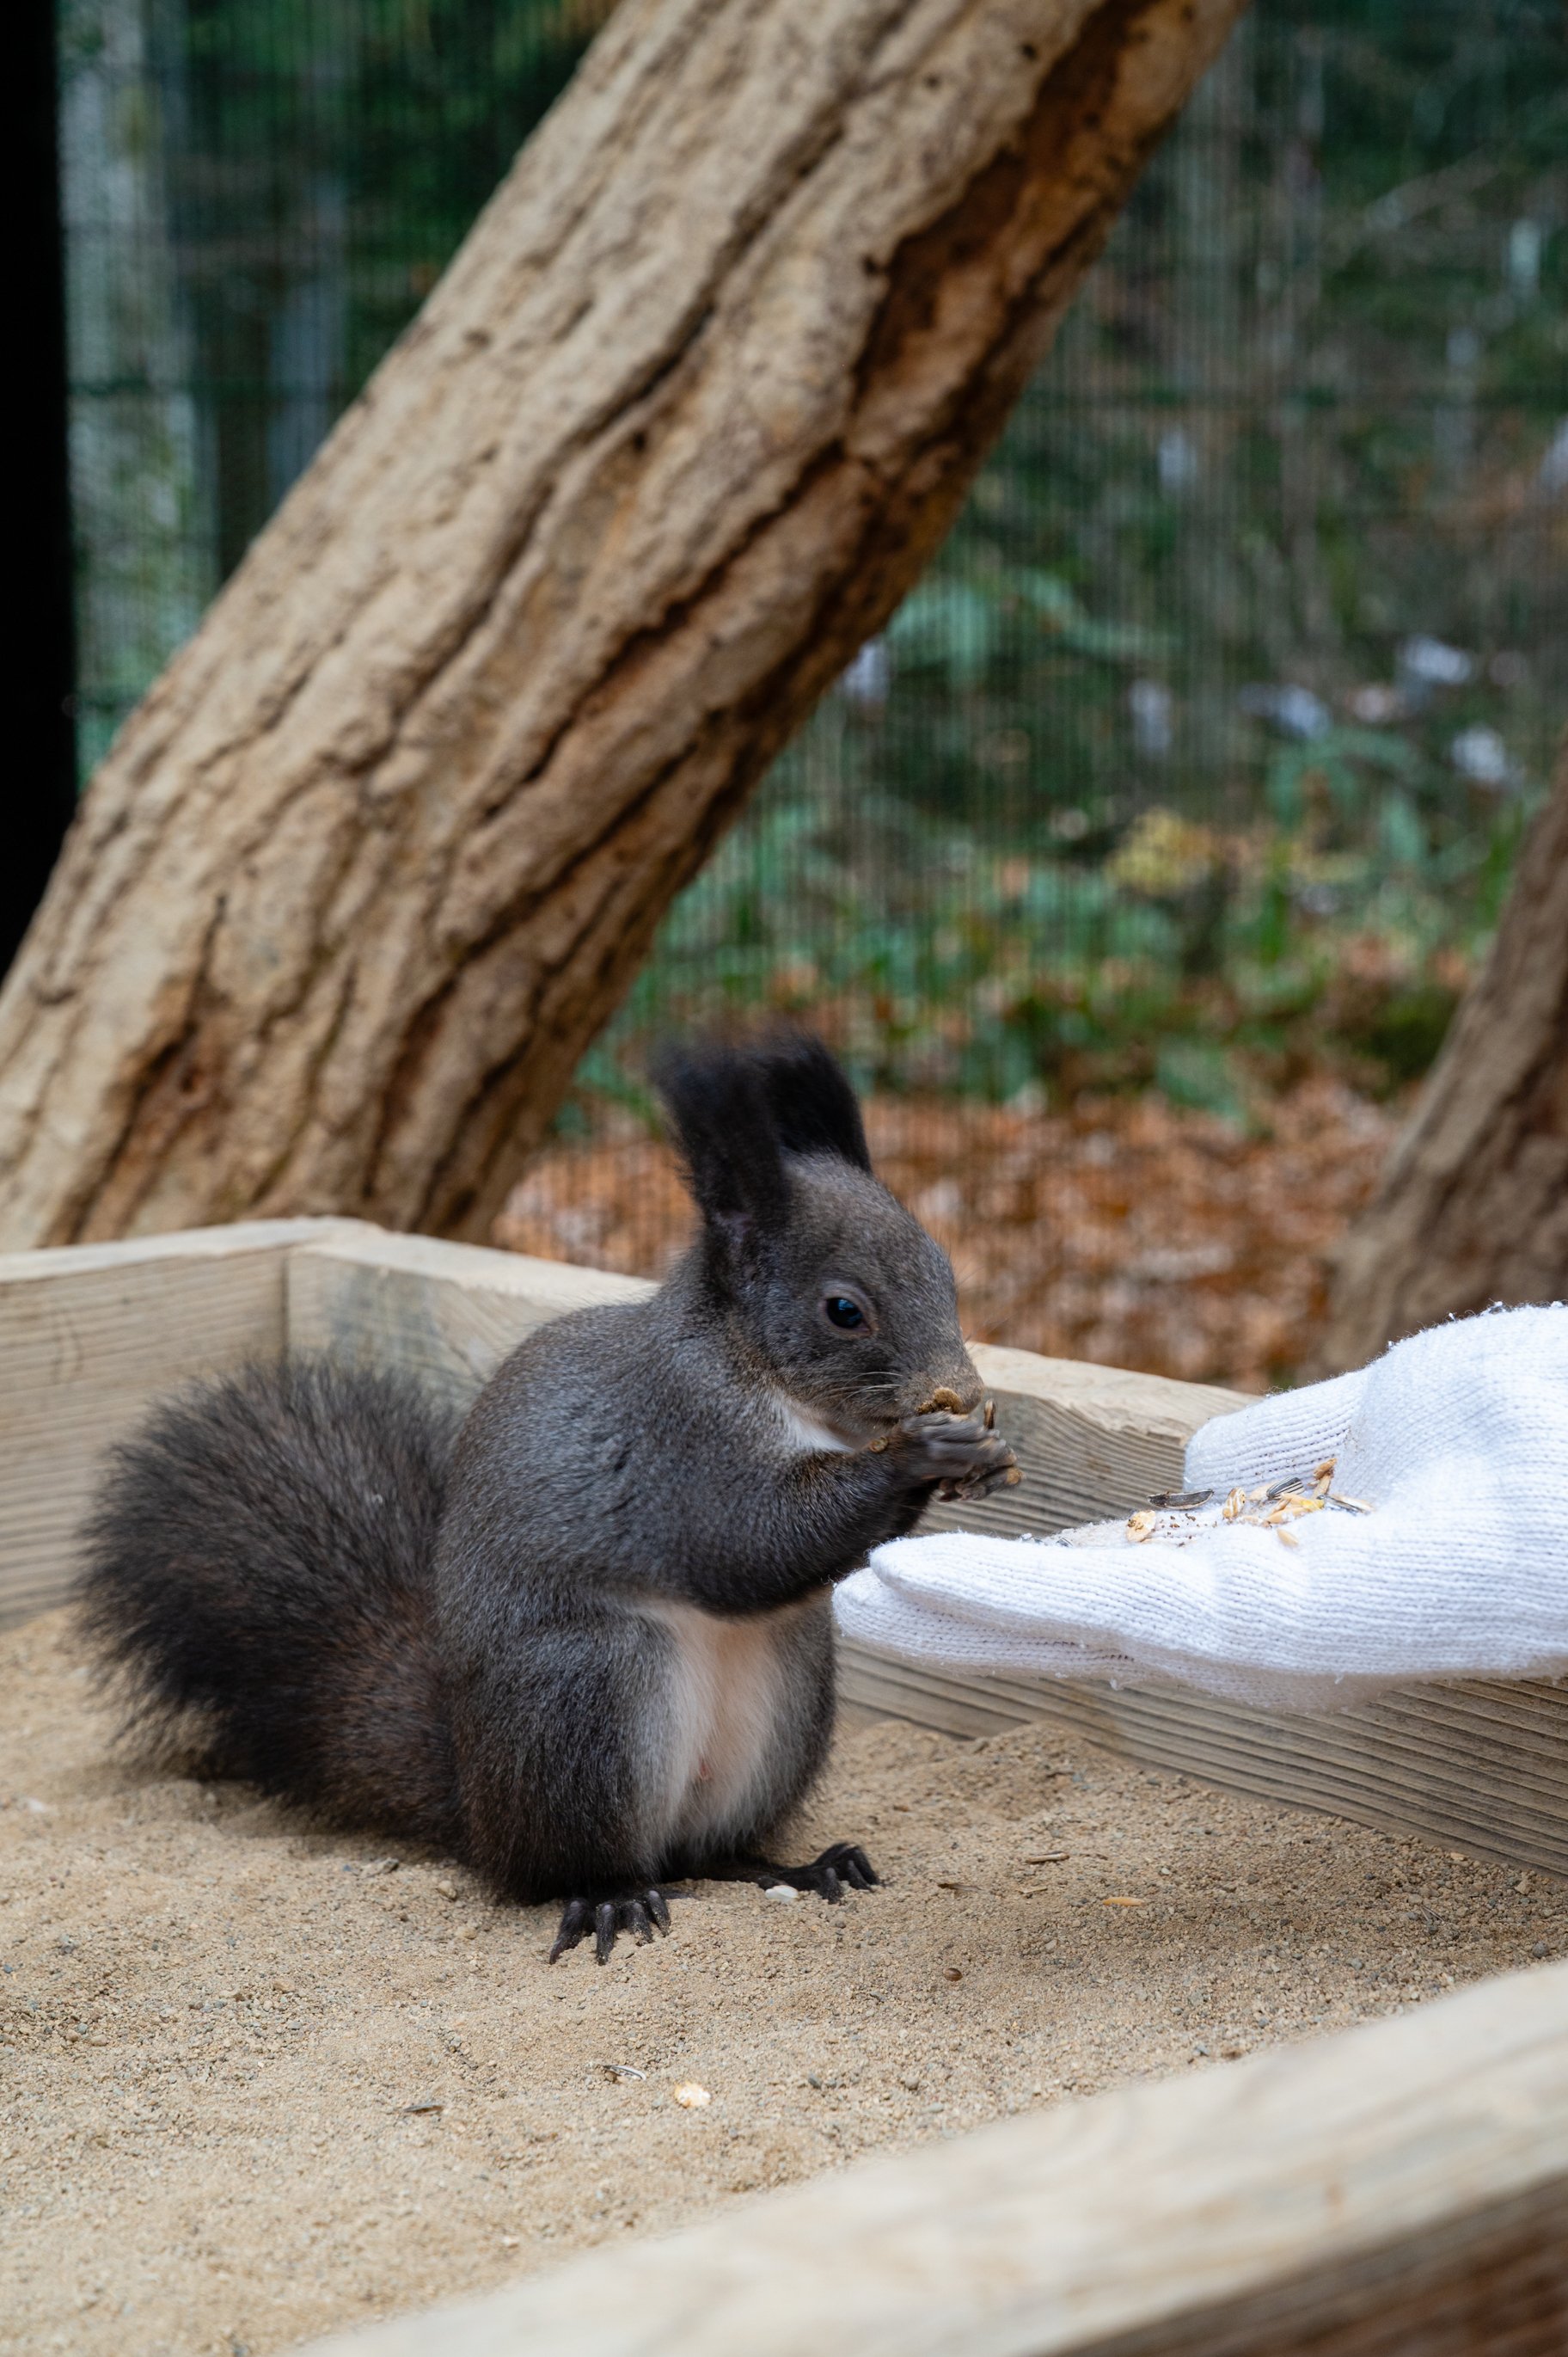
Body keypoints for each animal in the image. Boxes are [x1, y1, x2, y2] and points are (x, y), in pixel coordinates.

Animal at [77, 1032, 1017, 1963]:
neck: (765, 1379)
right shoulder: (679, 1450)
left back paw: (799, 1866)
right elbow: (745, 1542)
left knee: (708, 1852)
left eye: (945, 1272)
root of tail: (476, 1803)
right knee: (560, 1868)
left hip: (789, 1694)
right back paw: (610, 1895)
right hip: (586, 1696)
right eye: (844, 1310)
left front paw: (982, 1453)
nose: (964, 1389)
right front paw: (922, 1454)